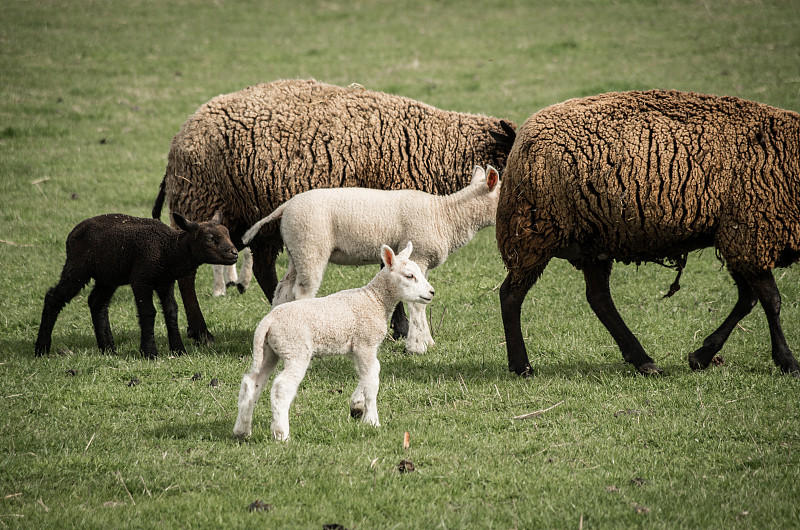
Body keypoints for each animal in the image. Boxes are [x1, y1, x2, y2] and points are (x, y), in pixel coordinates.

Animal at [36, 212, 238, 356]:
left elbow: (171, 311)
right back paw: (42, 348)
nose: (234, 253)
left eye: (228, 234)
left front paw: (179, 350)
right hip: (77, 267)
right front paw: (149, 352)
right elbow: (148, 312)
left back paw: (108, 348)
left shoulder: (166, 282)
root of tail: (73, 232)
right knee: (54, 297)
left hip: (108, 276)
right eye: (210, 238)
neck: (169, 251)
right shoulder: (141, 279)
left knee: (97, 303)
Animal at [233, 241, 432, 440]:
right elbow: (371, 382)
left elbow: (372, 372)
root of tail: (268, 321)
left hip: (269, 350)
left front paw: (358, 407)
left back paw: (242, 430)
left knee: (252, 383)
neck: (375, 300)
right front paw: (372, 421)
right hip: (295, 348)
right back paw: (281, 433)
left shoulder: (356, 349)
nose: (432, 292)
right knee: (281, 387)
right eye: (409, 276)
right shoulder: (365, 343)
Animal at [241, 164, 500, 350]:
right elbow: (417, 304)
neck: (445, 216)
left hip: (297, 248)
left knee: (283, 290)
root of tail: (286, 206)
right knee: (302, 292)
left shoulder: (420, 262)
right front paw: (418, 346)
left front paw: (426, 340)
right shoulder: (419, 253)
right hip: (310, 244)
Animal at [496, 89, 800, 376]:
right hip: (534, 232)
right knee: (510, 295)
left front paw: (701, 355)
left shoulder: (738, 236)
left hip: (592, 240)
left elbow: (749, 300)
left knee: (599, 298)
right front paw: (787, 361)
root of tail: (525, 133)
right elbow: (771, 301)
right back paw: (522, 366)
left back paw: (643, 361)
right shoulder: (750, 232)